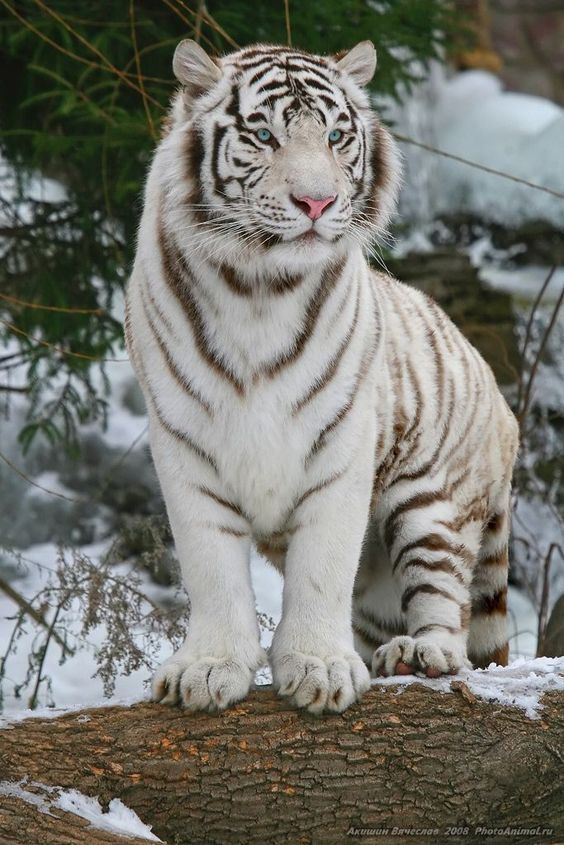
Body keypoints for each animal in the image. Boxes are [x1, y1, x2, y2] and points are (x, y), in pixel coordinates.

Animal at [124, 38, 519, 714]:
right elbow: (211, 570)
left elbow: (322, 567)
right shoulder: (184, 446)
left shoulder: (342, 442)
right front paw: (208, 669)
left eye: (336, 136)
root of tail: (505, 406)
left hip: (431, 502)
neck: (256, 288)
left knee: (448, 604)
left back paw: (422, 656)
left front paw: (320, 669)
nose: (318, 203)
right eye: (263, 134)